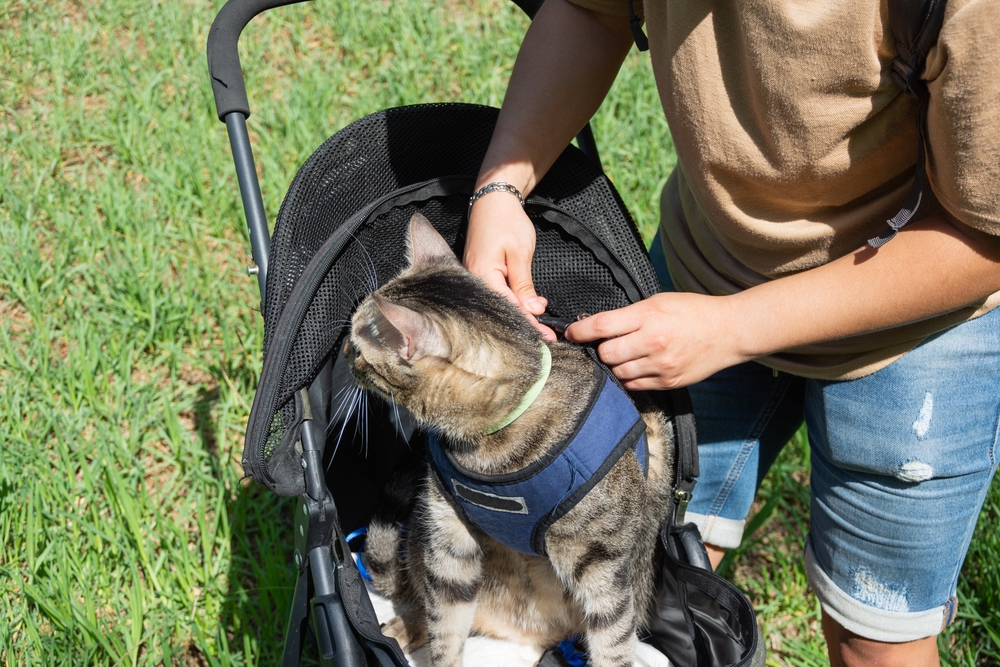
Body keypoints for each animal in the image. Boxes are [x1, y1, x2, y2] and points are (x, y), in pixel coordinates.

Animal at [344, 214, 672, 667]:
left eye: (360, 345)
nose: (343, 352)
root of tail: (532, 637)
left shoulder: (603, 568)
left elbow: (613, 641)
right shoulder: (447, 536)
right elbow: (445, 622)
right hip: (421, 540)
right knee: (423, 597)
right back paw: (406, 626)